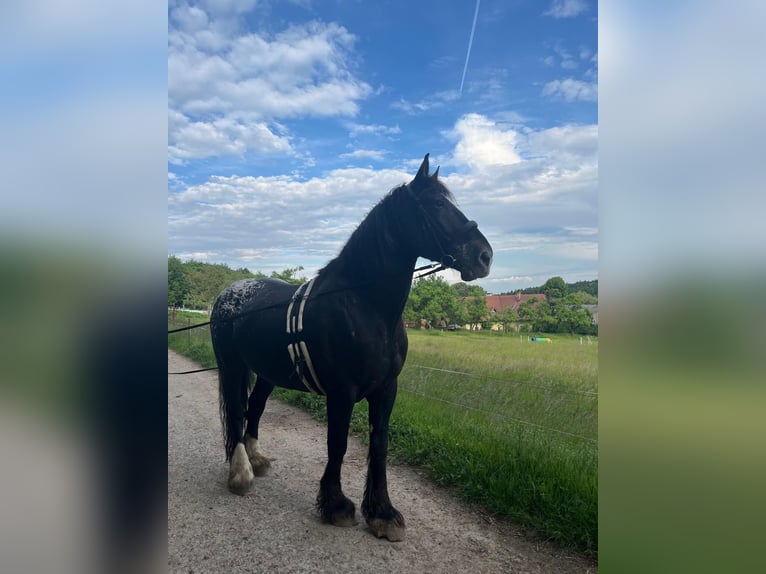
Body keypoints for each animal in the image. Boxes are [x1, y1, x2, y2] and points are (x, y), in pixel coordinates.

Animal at [210, 154, 492, 541]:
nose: (484, 256)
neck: (363, 305)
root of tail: (229, 293)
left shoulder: (386, 390)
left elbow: (379, 445)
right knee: (238, 411)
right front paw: (336, 506)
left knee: (255, 408)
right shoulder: (341, 392)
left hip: (267, 372)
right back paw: (241, 474)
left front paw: (382, 513)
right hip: (232, 366)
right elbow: (338, 444)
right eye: (437, 204)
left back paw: (257, 460)